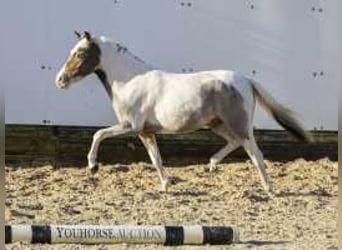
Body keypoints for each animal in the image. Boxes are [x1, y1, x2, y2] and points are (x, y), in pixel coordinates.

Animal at [54, 31, 312, 194]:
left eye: (80, 53)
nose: (60, 80)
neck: (130, 81)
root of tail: (246, 80)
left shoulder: (131, 127)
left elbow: (98, 134)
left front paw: (93, 166)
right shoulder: (145, 132)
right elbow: (156, 159)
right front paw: (166, 186)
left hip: (238, 124)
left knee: (255, 154)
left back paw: (269, 189)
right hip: (217, 124)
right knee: (234, 142)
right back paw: (211, 165)